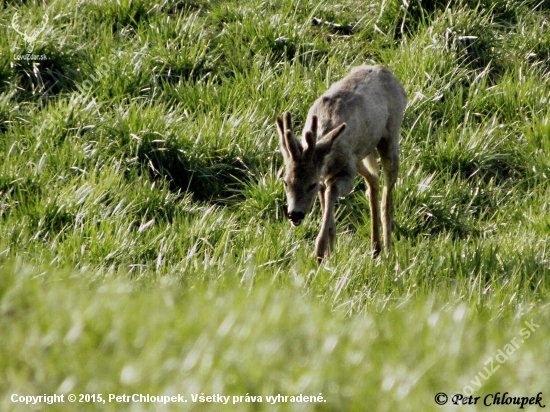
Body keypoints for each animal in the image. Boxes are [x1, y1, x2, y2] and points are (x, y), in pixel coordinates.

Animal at [278, 66, 408, 262]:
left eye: (311, 185)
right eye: (286, 182)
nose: (295, 214)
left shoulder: (345, 171)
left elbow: (331, 192)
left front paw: (320, 250)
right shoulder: (327, 174)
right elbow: (326, 200)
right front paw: (329, 248)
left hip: (390, 137)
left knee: (387, 195)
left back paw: (387, 249)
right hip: (361, 154)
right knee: (373, 180)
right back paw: (375, 248)